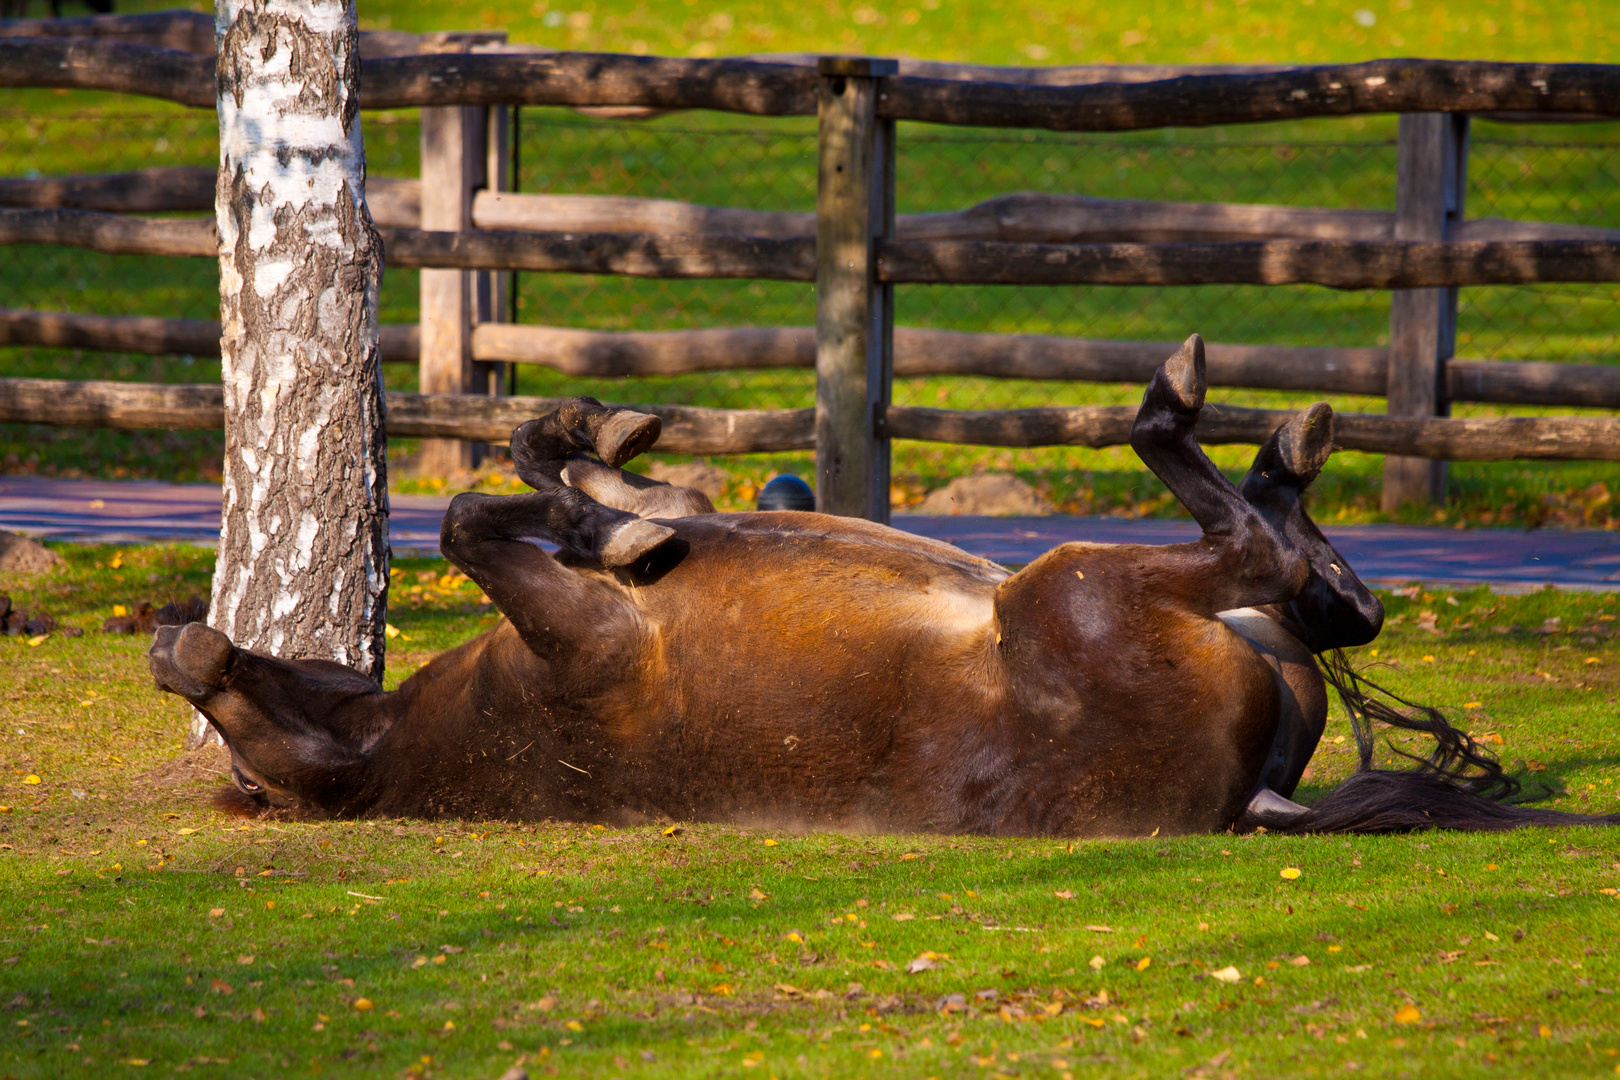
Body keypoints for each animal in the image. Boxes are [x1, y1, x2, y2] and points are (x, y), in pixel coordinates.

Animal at [149, 338, 1620, 835]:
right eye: (233, 720)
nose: (185, 646)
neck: (409, 749)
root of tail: (1247, 804)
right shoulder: (572, 633)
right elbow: (468, 522)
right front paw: (608, 522)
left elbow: (557, 483)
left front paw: (605, 463)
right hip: (1076, 586)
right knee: (1269, 559)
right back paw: (1201, 417)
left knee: (1319, 587)